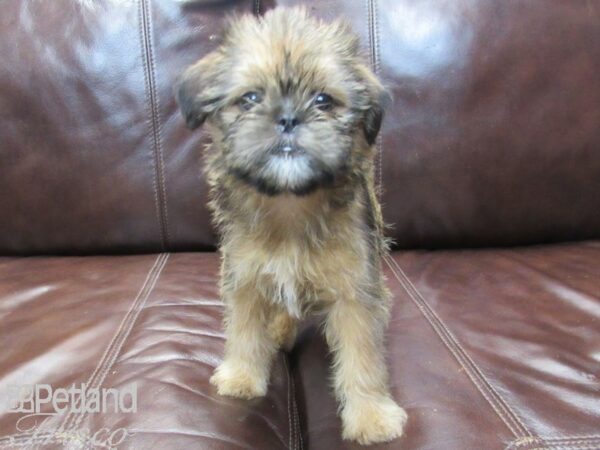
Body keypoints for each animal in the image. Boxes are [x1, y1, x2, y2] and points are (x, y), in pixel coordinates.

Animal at [175, 7, 408, 446]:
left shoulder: (355, 292)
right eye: (250, 98)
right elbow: (245, 328)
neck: (289, 203)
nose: (287, 118)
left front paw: (370, 414)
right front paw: (242, 375)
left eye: (323, 100)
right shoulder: (244, 276)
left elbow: (362, 356)